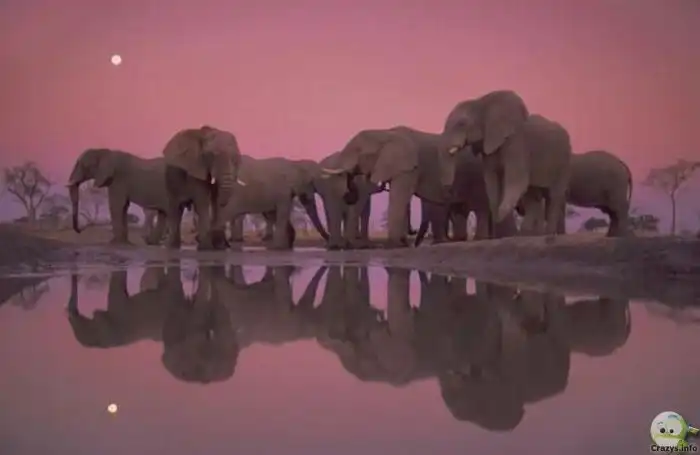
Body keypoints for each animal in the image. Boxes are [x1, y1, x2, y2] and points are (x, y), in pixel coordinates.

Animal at [439, 90, 572, 238]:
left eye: (461, 124)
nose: (448, 190)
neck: (482, 102)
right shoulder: (489, 147)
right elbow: (491, 182)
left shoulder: (517, 143)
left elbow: (517, 182)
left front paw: (500, 217)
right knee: (533, 195)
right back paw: (530, 234)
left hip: (564, 161)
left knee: (554, 195)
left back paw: (546, 234)